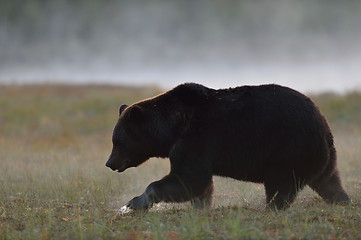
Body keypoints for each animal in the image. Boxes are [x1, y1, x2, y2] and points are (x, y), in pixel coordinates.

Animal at [105, 82, 348, 210]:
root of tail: (323, 125)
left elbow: (189, 179)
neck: (172, 127)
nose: (109, 163)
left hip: (287, 148)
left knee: (280, 185)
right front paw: (201, 206)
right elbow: (200, 185)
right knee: (329, 181)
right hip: (320, 155)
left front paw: (134, 202)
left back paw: (270, 207)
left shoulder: (195, 138)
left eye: (118, 141)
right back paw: (343, 200)